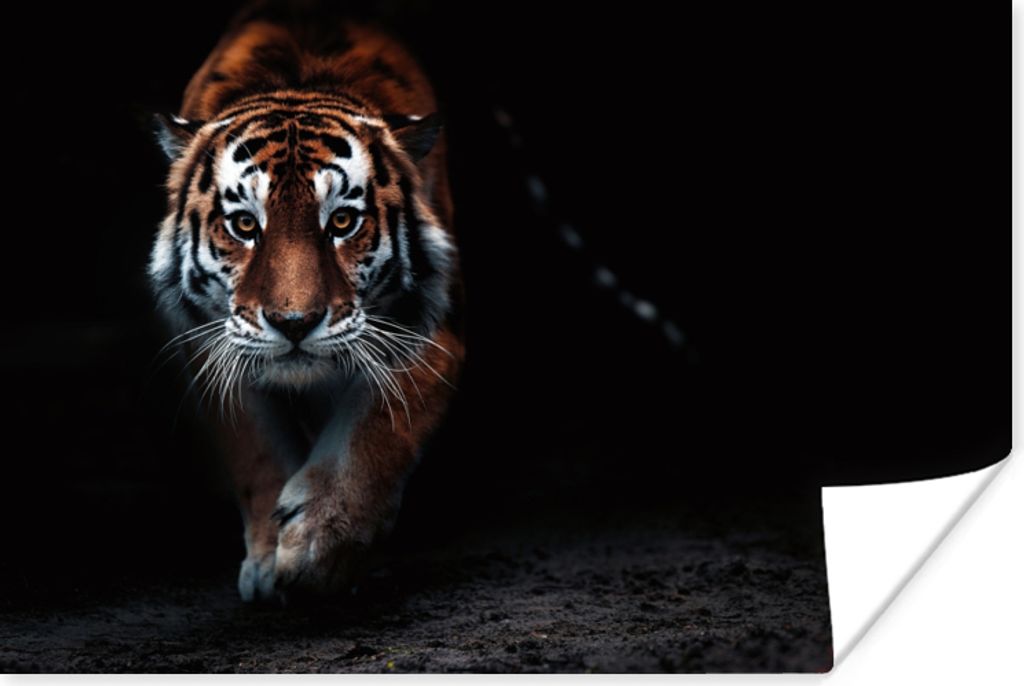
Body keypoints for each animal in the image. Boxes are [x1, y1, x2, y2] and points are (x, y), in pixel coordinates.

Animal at [148, 0, 465, 603]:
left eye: (341, 221)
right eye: (245, 225)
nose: (294, 323)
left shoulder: (432, 329)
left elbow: (377, 429)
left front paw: (319, 546)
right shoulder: (208, 342)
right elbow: (255, 447)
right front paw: (269, 563)